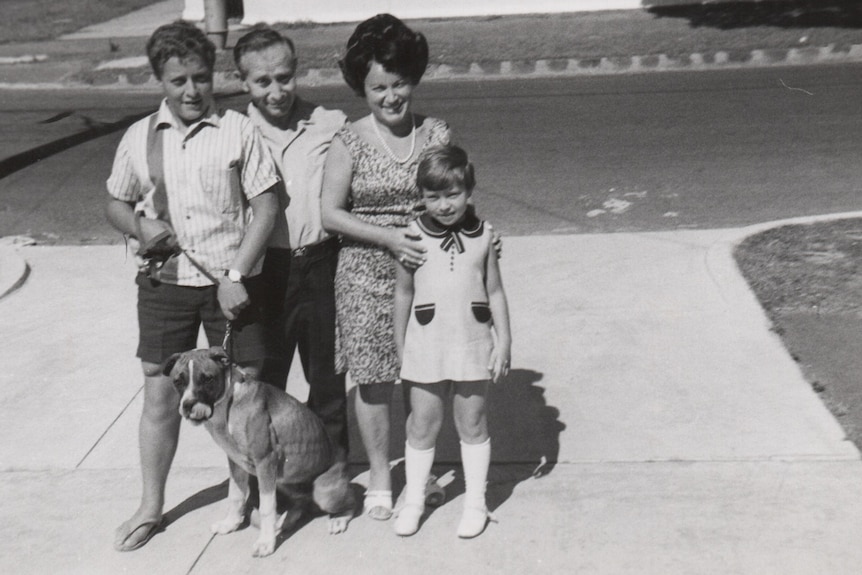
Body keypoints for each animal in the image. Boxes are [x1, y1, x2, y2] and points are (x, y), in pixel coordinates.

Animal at [164, 346, 356, 560]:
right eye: (178, 381)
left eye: (208, 379)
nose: (188, 405)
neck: (229, 402)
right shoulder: (236, 462)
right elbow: (235, 495)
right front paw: (230, 524)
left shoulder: (265, 461)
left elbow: (266, 507)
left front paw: (265, 543)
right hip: (283, 481)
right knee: (302, 501)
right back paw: (286, 520)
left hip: (323, 491)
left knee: (351, 502)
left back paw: (338, 519)